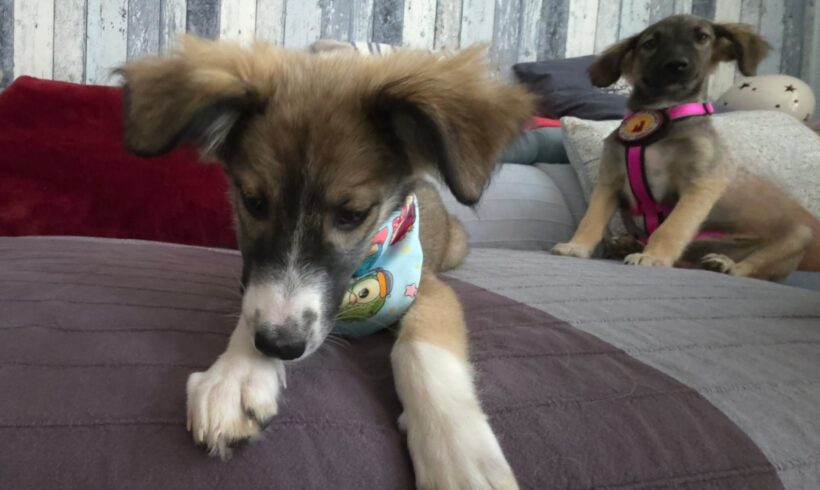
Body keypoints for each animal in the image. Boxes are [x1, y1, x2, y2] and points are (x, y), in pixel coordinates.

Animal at [119, 36, 533, 489]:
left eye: (353, 214)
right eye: (253, 202)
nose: (279, 345)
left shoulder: (428, 288)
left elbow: (420, 349)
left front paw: (456, 448)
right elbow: (251, 307)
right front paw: (234, 375)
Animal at [552, 15, 815, 282]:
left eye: (702, 37)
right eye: (650, 43)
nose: (677, 64)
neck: (663, 110)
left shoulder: (701, 185)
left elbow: (673, 228)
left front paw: (654, 257)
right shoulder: (610, 181)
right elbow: (591, 219)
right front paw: (577, 246)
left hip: (798, 236)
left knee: (751, 267)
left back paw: (725, 264)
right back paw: (629, 244)